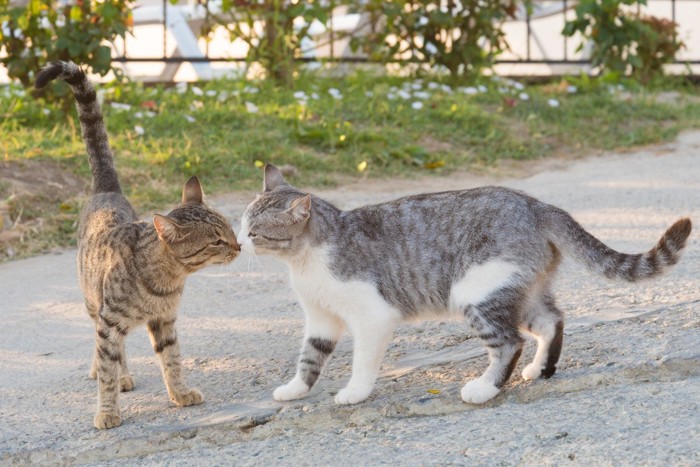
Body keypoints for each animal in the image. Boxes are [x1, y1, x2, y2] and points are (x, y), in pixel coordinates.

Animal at [34, 62, 241, 432]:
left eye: (230, 230)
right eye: (216, 240)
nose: (239, 245)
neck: (167, 281)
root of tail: (107, 190)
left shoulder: (165, 321)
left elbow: (172, 359)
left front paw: (180, 393)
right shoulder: (109, 320)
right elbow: (106, 371)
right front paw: (107, 411)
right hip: (94, 304)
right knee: (106, 350)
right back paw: (119, 375)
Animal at [241, 165, 696, 406]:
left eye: (256, 231)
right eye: (244, 222)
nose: (240, 240)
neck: (306, 260)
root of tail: (536, 205)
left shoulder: (372, 316)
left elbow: (363, 362)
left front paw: (354, 392)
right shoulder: (321, 319)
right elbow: (310, 357)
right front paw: (295, 389)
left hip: (477, 293)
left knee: (510, 342)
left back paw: (485, 387)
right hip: (519, 290)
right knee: (552, 321)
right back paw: (540, 369)